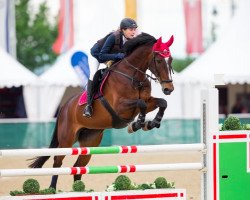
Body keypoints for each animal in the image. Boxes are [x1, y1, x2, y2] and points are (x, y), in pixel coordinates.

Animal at [28, 32, 174, 189]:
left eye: (170, 60)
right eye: (159, 60)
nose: (169, 89)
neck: (134, 76)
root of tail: (64, 107)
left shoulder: (148, 101)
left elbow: (162, 103)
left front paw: (152, 123)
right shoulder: (120, 107)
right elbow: (141, 104)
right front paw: (138, 124)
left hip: (90, 140)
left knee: (78, 167)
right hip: (67, 139)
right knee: (57, 162)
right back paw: (52, 188)